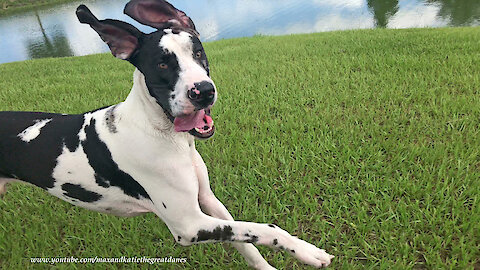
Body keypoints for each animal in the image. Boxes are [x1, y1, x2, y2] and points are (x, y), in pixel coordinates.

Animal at [0, 0, 334, 268]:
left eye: (198, 52)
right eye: (162, 64)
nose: (203, 92)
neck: (163, 134)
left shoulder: (207, 200)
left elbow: (247, 242)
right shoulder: (189, 225)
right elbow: (265, 229)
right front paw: (307, 251)